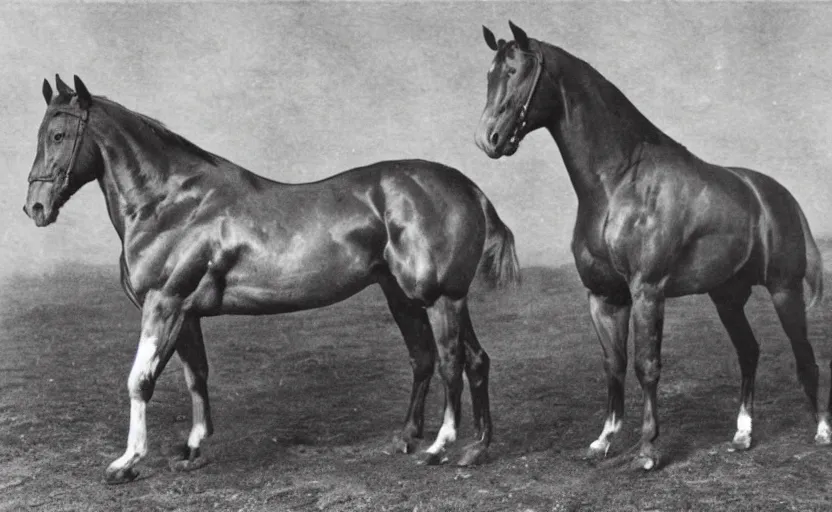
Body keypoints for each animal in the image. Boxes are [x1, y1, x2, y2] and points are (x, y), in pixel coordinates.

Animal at [24, 74, 520, 482]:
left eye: (59, 134)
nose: (36, 208)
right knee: (451, 359)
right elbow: (196, 375)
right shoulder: (186, 314)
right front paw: (193, 448)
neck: (171, 203)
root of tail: (467, 187)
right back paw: (464, 448)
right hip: (409, 296)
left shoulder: (163, 303)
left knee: (452, 361)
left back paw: (441, 447)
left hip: (439, 297)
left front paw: (126, 463)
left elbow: (140, 380)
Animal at [472, 22, 828, 470]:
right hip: (727, 297)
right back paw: (743, 433)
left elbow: (646, 365)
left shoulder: (647, 291)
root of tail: (779, 196)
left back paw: (821, 431)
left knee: (805, 356)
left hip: (784, 291)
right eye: (488, 74)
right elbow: (614, 364)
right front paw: (604, 440)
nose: (487, 139)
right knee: (749, 352)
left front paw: (647, 449)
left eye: (516, 71)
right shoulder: (604, 296)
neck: (619, 182)